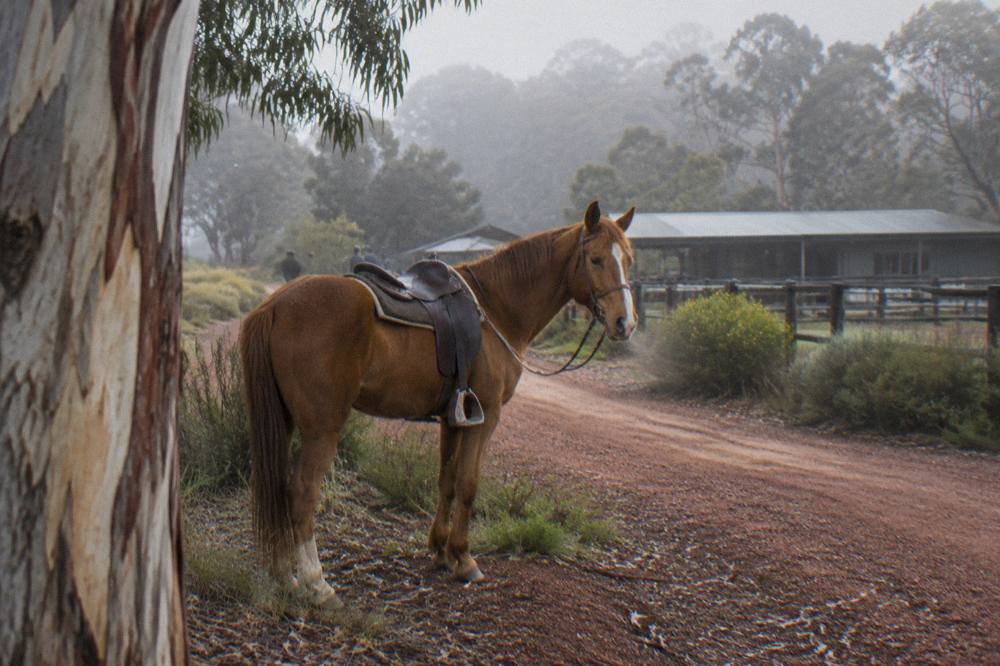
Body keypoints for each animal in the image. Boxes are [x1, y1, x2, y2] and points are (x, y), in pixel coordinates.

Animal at [238, 200, 637, 607]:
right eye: (595, 259)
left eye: (629, 259)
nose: (625, 322)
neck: (495, 309)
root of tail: (274, 305)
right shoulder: (486, 417)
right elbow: (468, 483)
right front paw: (463, 557)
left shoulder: (454, 418)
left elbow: (446, 480)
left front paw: (441, 551)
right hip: (322, 429)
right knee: (302, 494)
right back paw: (317, 584)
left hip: (286, 422)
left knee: (278, 491)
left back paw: (285, 577)